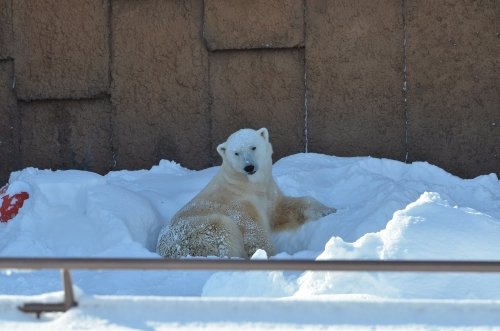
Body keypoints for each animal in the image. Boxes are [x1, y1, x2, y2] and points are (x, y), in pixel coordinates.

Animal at [156, 127, 336, 260]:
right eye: (236, 152)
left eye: (253, 147)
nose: (249, 167)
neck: (246, 183)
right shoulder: (238, 203)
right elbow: (254, 233)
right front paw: (268, 256)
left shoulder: (268, 193)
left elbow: (283, 208)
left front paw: (329, 210)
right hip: (197, 235)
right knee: (223, 231)